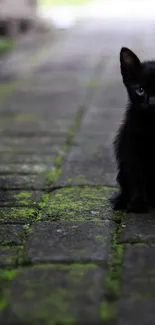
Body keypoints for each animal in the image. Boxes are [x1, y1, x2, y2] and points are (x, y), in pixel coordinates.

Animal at [111, 46, 155, 211]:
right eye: (140, 90)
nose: (152, 102)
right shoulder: (131, 150)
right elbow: (136, 177)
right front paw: (138, 204)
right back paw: (121, 201)